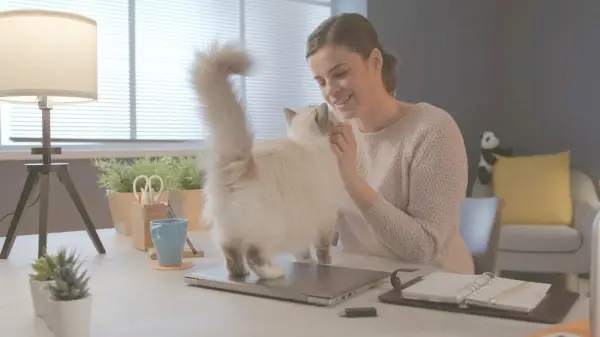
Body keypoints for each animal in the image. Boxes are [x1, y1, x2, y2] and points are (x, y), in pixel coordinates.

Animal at [190, 41, 344, 278]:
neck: (306, 141)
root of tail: (241, 163)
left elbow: (303, 251)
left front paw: (304, 262)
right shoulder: (326, 219)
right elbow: (323, 250)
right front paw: (327, 265)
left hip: (227, 232)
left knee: (232, 256)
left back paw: (241, 275)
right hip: (273, 230)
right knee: (253, 254)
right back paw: (273, 272)